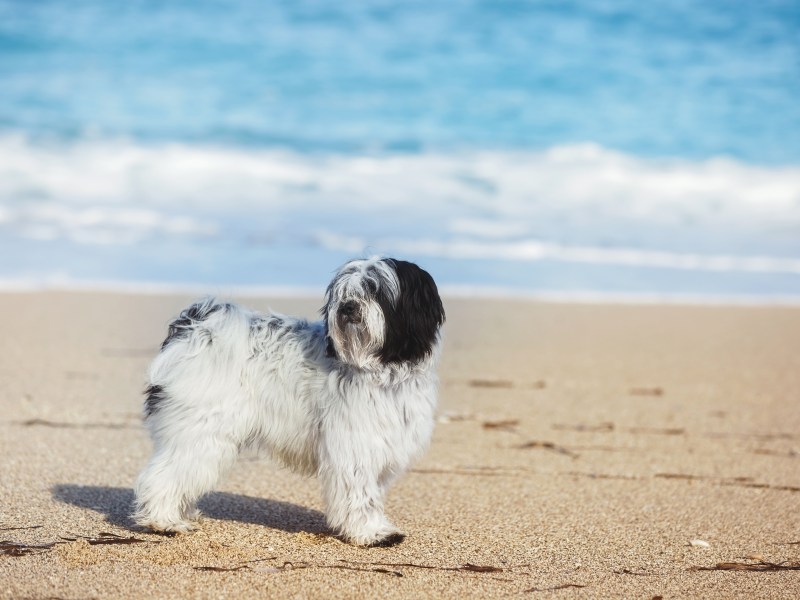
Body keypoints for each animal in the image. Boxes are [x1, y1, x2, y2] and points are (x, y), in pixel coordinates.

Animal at [131, 255, 444, 548]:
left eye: (375, 289)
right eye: (344, 292)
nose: (348, 307)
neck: (382, 370)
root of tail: (194, 330)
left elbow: (372, 495)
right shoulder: (354, 449)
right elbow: (361, 495)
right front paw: (372, 533)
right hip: (202, 431)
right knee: (165, 474)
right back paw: (164, 521)